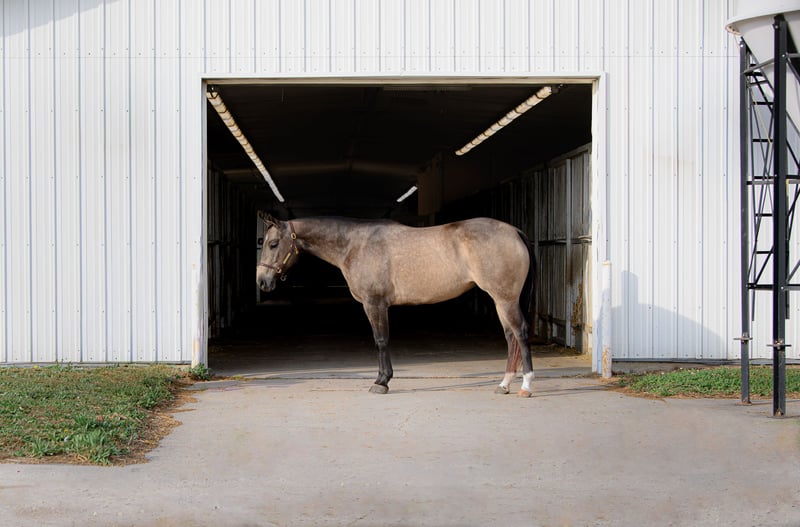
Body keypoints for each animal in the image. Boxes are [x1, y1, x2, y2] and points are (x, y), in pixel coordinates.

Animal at [255, 214, 537, 397]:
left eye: (273, 244)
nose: (262, 281)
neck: (354, 245)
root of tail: (514, 231)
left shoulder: (375, 304)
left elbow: (381, 340)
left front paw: (381, 382)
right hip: (500, 300)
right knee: (510, 336)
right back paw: (504, 385)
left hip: (506, 298)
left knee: (521, 333)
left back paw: (526, 386)